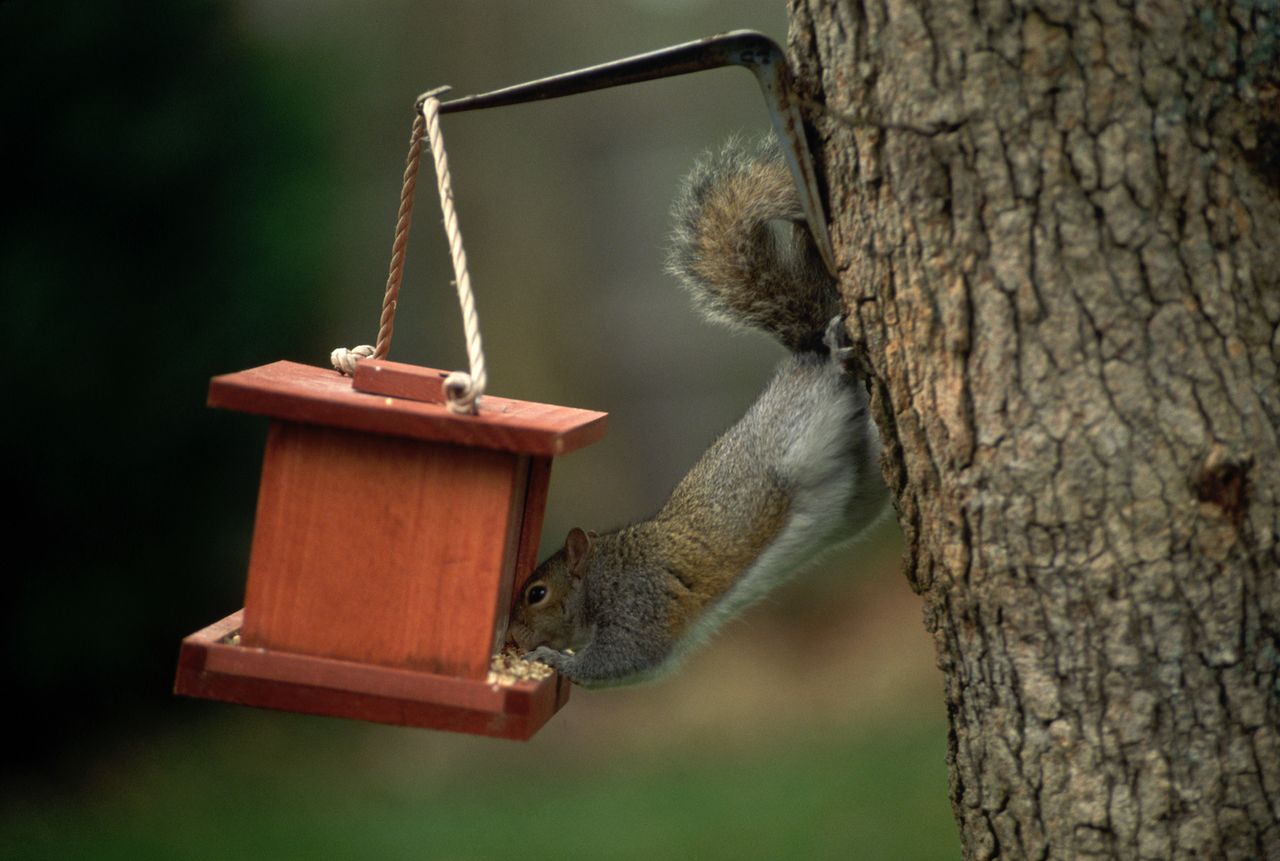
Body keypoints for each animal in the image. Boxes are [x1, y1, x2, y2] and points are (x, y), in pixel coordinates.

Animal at [504, 137, 885, 690]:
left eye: (537, 593)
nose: (511, 642)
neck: (602, 573)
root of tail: (806, 352)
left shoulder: (638, 606)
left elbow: (620, 659)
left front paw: (554, 659)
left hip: (797, 428)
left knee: (829, 381)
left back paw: (836, 353)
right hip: (860, 491)